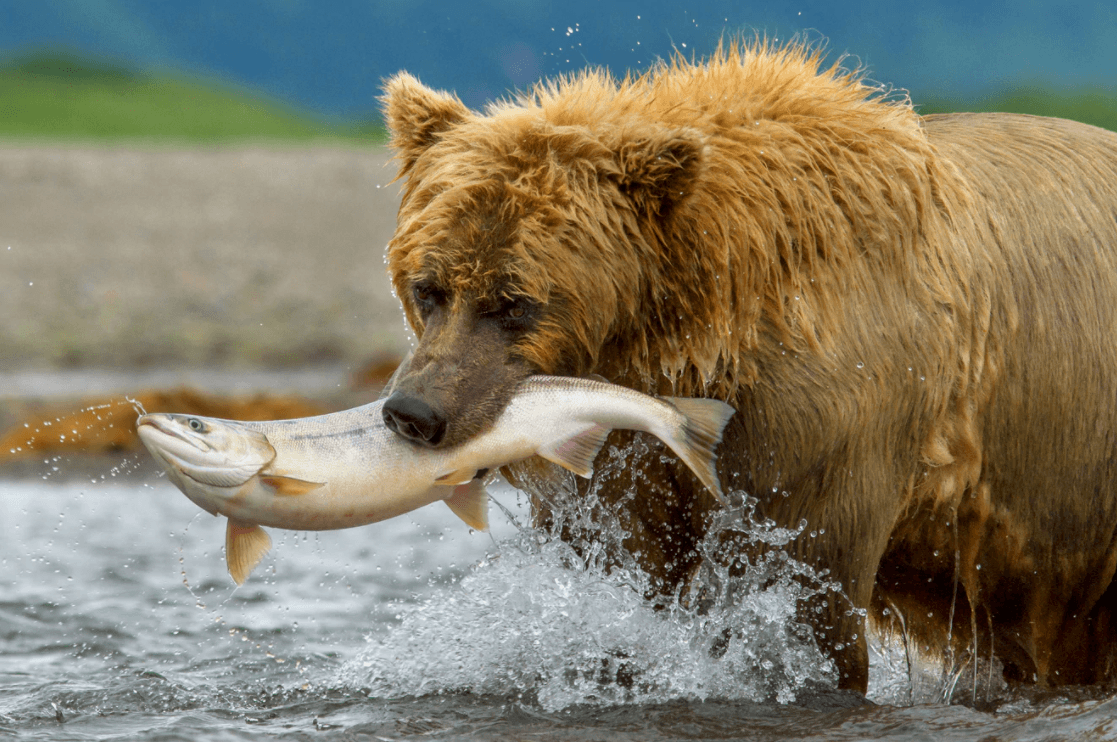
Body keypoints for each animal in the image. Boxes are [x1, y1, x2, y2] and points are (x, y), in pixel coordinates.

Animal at [373, 39, 1117, 688]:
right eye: (428, 287)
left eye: (514, 302)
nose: (416, 412)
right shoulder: (626, 458)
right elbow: (620, 575)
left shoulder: (836, 415)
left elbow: (803, 592)